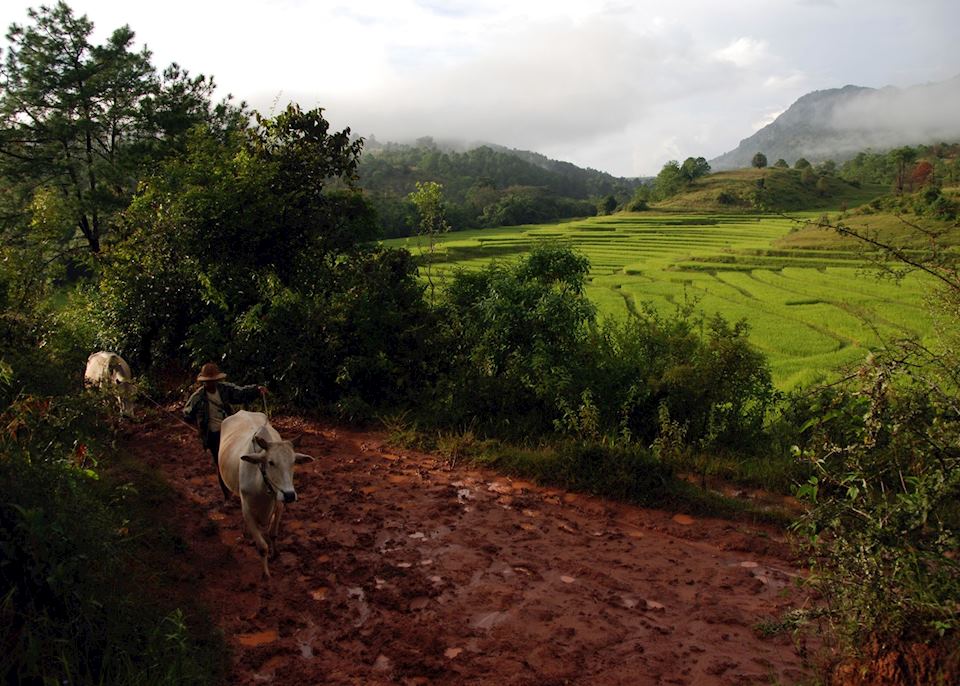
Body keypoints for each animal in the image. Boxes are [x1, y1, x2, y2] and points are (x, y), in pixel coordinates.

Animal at [218, 412, 316, 576]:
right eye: (270, 462)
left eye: (293, 462)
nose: (290, 495)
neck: (262, 487)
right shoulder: (247, 510)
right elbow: (262, 547)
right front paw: (266, 575)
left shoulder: (279, 505)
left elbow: (272, 534)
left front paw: (274, 554)